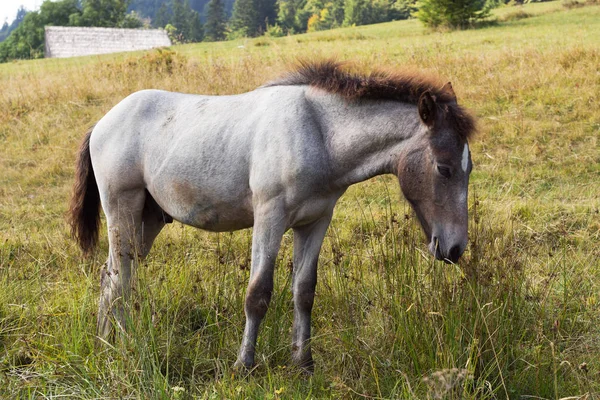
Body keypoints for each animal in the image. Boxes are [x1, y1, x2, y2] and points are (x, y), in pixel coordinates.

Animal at [68, 60, 476, 372]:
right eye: (443, 168)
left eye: (468, 167)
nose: (454, 248)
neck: (318, 133)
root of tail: (102, 122)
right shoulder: (269, 218)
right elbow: (258, 294)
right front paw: (243, 365)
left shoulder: (314, 222)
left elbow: (304, 291)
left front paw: (304, 363)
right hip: (123, 210)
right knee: (119, 277)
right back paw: (119, 347)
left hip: (149, 219)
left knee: (114, 275)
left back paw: (112, 345)